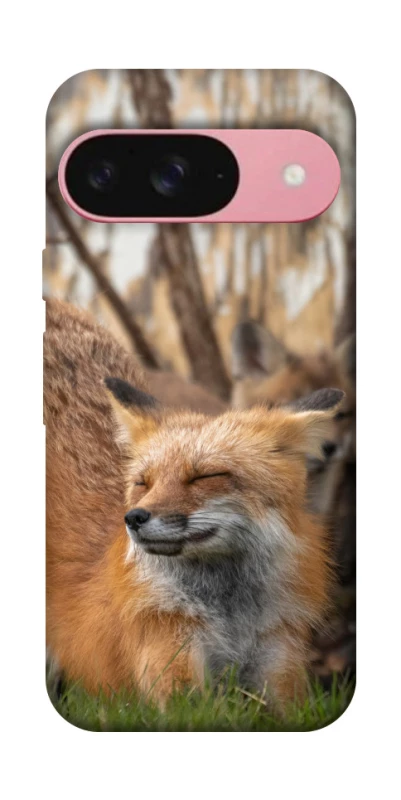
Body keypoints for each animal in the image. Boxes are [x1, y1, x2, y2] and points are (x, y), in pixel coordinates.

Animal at [45, 299, 344, 708]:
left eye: (204, 476)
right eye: (143, 483)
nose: (133, 518)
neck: (230, 616)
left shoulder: (279, 662)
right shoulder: (170, 659)